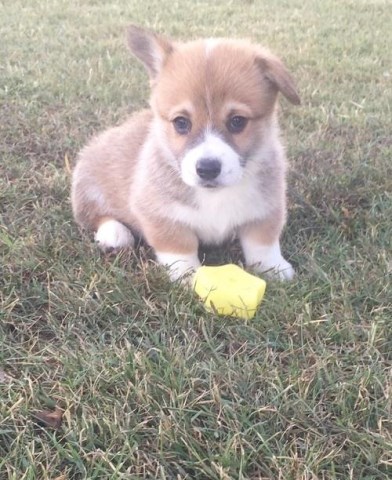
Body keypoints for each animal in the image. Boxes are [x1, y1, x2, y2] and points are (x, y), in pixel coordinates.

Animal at [72, 25, 300, 282]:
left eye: (237, 121)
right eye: (181, 122)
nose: (207, 169)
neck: (214, 195)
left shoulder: (267, 206)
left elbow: (263, 241)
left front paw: (274, 269)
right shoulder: (158, 213)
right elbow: (178, 245)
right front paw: (188, 276)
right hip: (87, 186)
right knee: (94, 216)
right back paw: (114, 232)